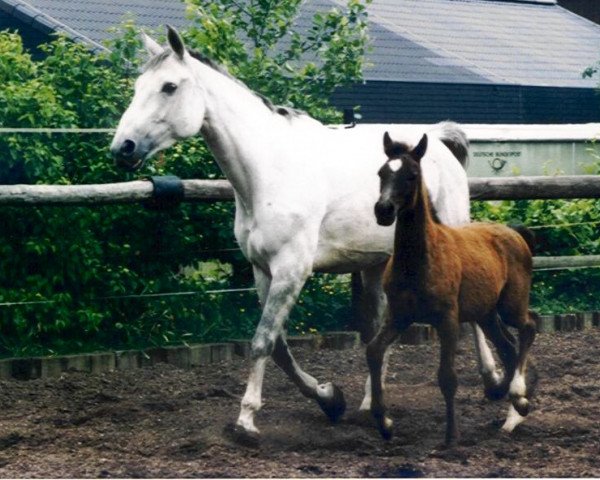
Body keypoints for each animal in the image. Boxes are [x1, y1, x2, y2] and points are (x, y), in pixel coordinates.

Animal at [111, 26, 506, 444]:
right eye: (138, 85)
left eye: (169, 86)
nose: (123, 148)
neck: (268, 171)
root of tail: (436, 141)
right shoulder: (262, 271)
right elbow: (279, 347)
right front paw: (330, 398)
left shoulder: (292, 270)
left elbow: (263, 341)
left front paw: (246, 421)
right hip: (377, 265)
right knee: (379, 331)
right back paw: (371, 404)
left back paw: (494, 381)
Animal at [368, 132, 536, 446]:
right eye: (382, 173)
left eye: (411, 175)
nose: (383, 211)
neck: (419, 260)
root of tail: (514, 233)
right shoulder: (398, 316)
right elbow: (374, 351)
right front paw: (384, 423)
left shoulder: (447, 320)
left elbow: (447, 377)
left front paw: (451, 437)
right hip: (485, 313)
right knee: (508, 346)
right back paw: (501, 393)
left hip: (511, 305)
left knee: (528, 328)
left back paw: (519, 397)